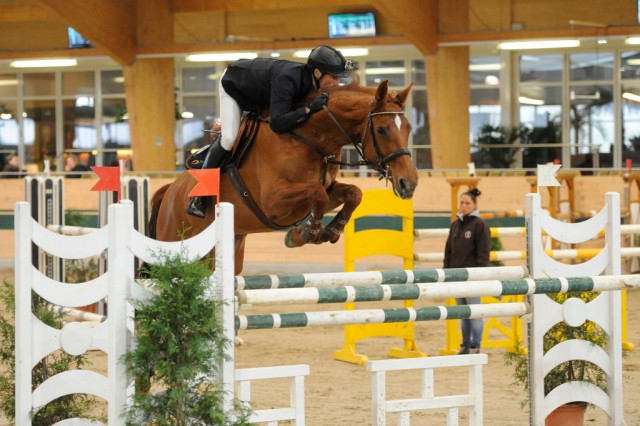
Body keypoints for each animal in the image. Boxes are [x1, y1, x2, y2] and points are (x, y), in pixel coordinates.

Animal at [150, 80, 420, 274]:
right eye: (382, 130)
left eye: (408, 128)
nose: (409, 183)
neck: (308, 137)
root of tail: (169, 191)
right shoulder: (273, 203)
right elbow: (317, 195)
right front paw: (306, 233)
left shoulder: (322, 191)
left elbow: (353, 193)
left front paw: (330, 230)